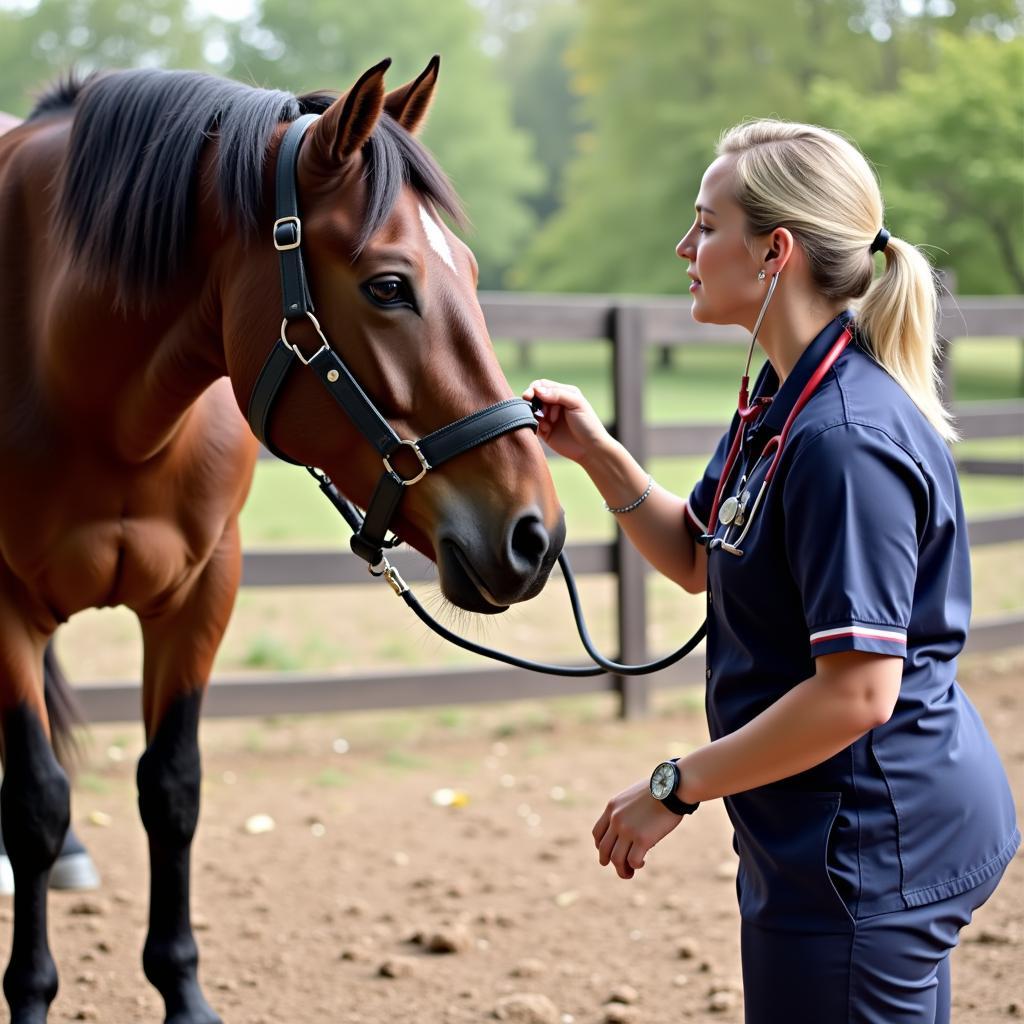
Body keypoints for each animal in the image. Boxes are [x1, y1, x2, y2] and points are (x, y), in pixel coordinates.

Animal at [0, 59, 565, 1019]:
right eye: (388, 284)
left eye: (469, 268)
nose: (536, 534)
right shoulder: (3, 608)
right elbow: (36, 804)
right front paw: (31, 993)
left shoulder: (202, 593)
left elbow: (173, 789)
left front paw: (184, 991)